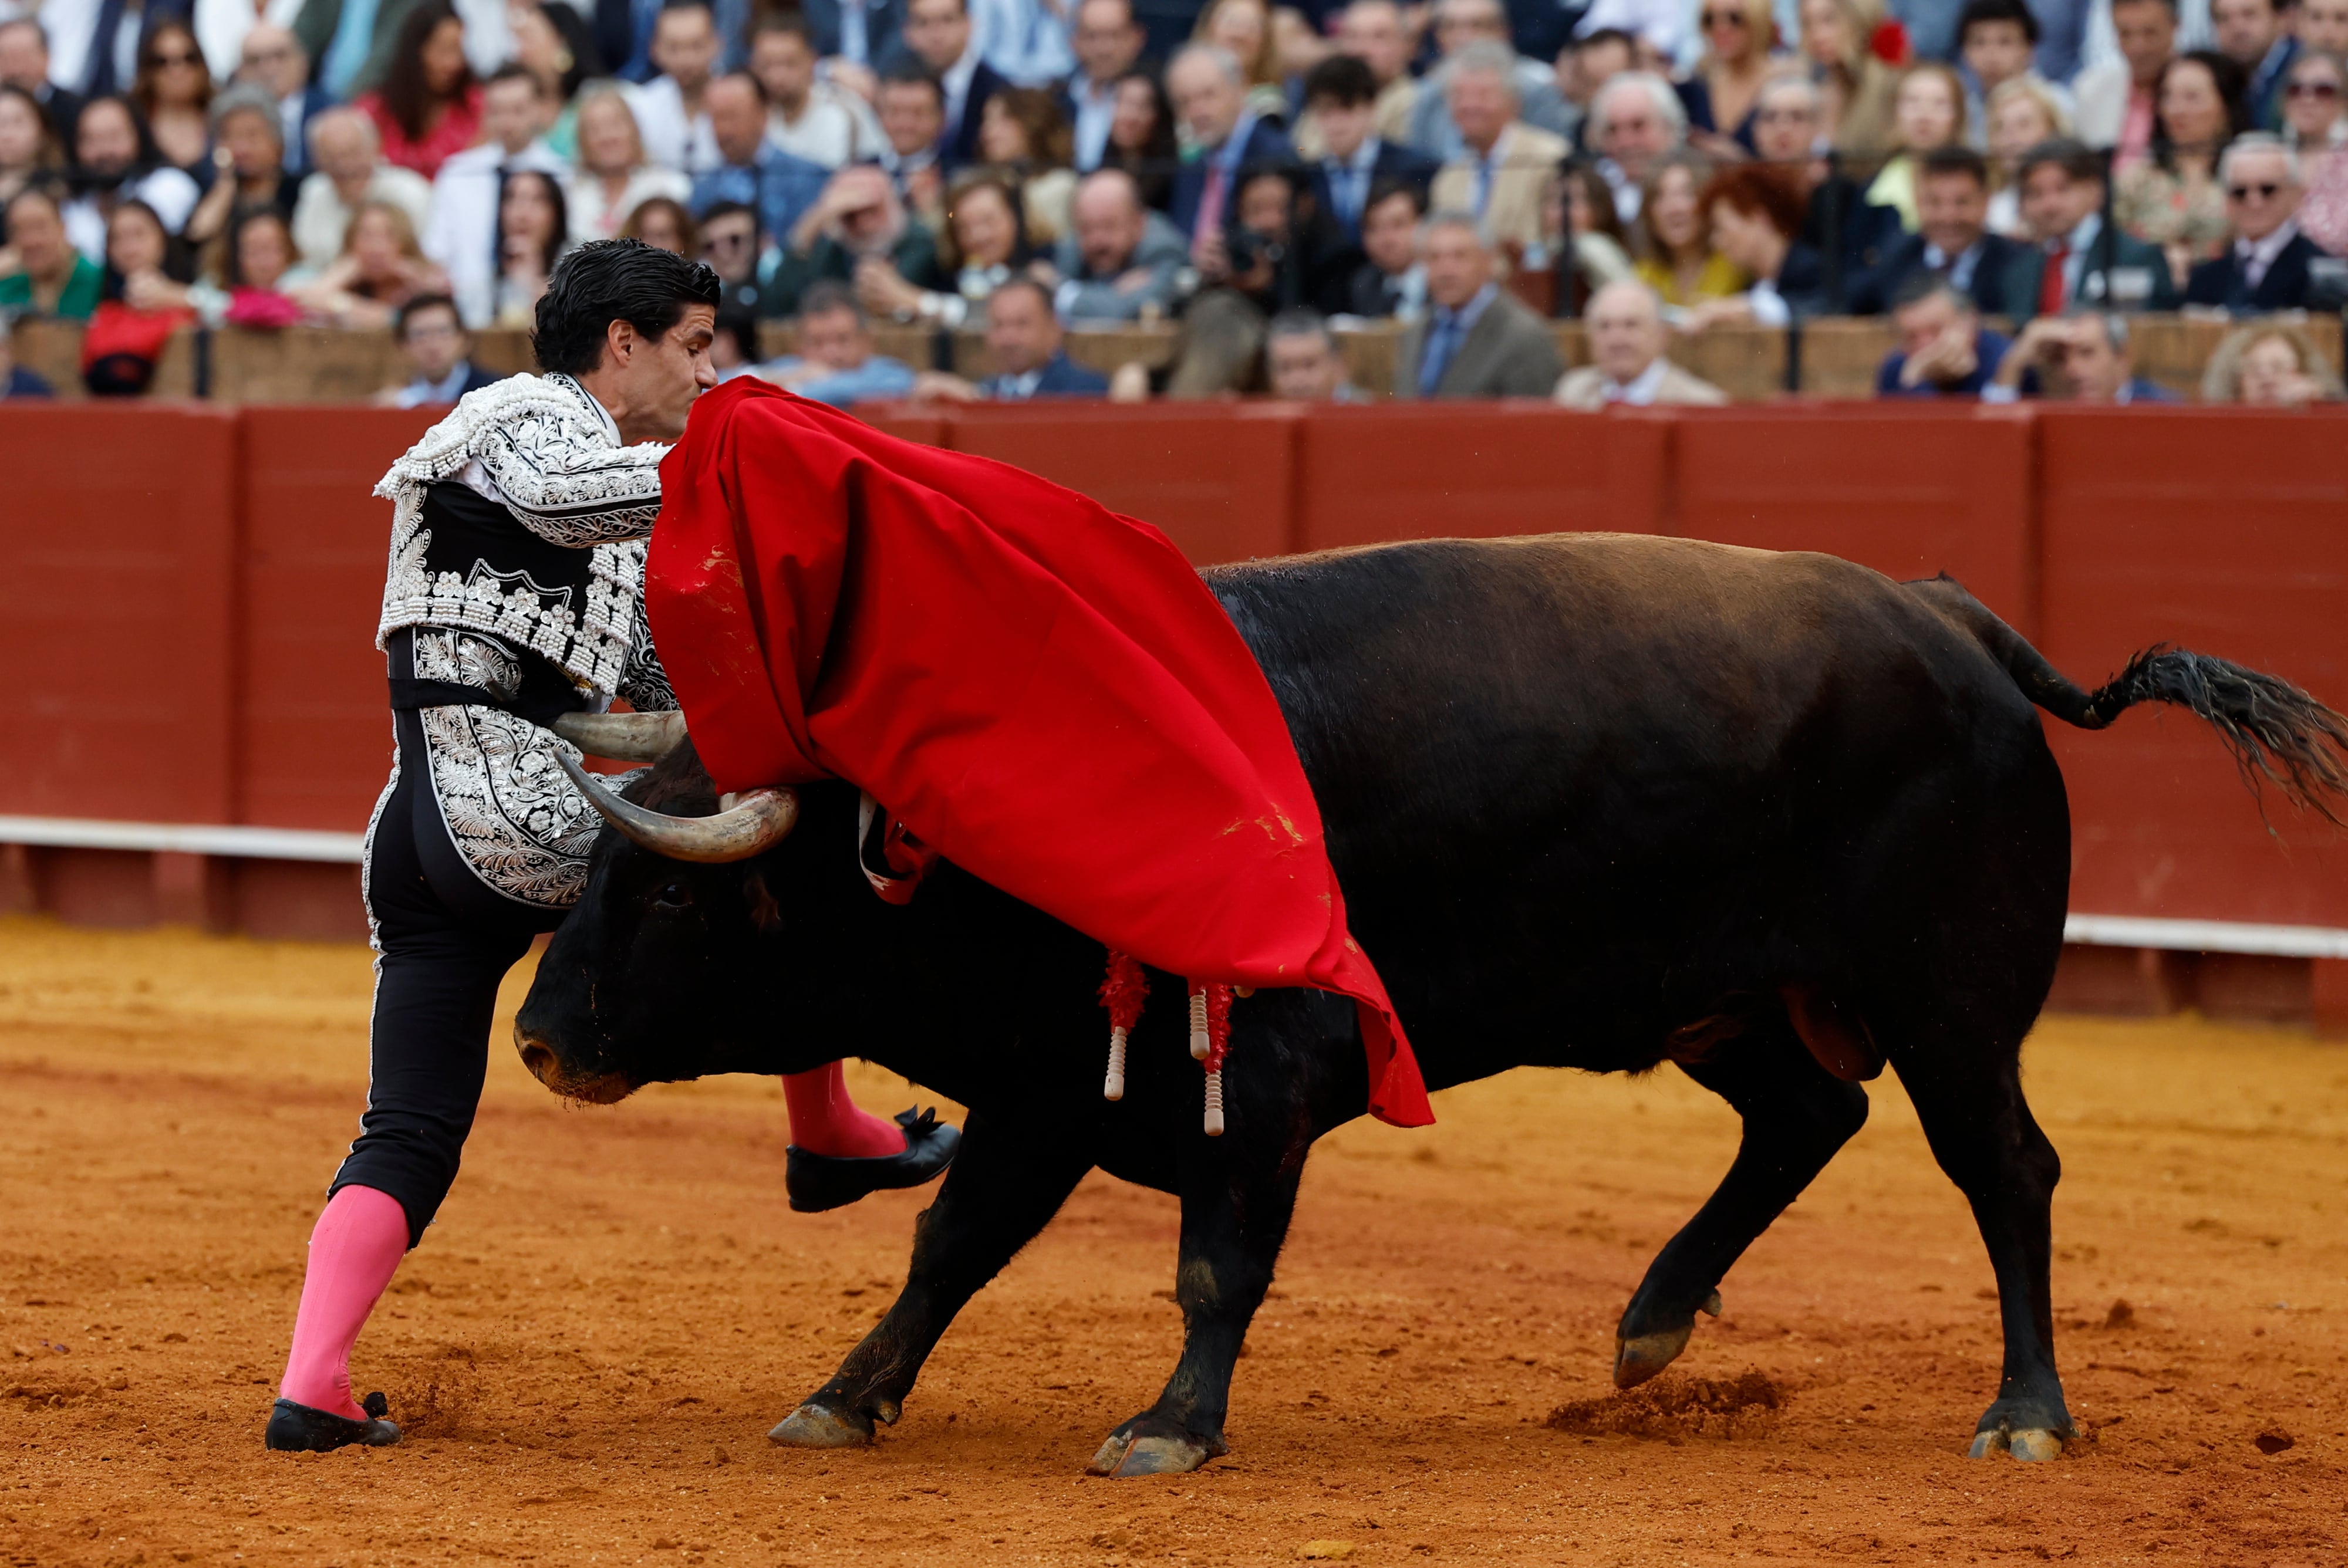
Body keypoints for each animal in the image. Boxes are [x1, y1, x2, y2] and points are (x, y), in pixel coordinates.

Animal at [514, 533, 2348, 1474]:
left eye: (669, 890)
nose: (537, 1038)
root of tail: (1959, 624)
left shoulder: (1258, 1082)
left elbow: (1213, 1264)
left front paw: (1168, 1429)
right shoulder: (1053, 1081)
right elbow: (951, 1244)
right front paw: (842, 1396)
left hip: (1951, 999)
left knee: (2003, 1171)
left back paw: (2025, 1414)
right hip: (1724, 1000)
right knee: (1808, 1113)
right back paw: (1651, 1323)